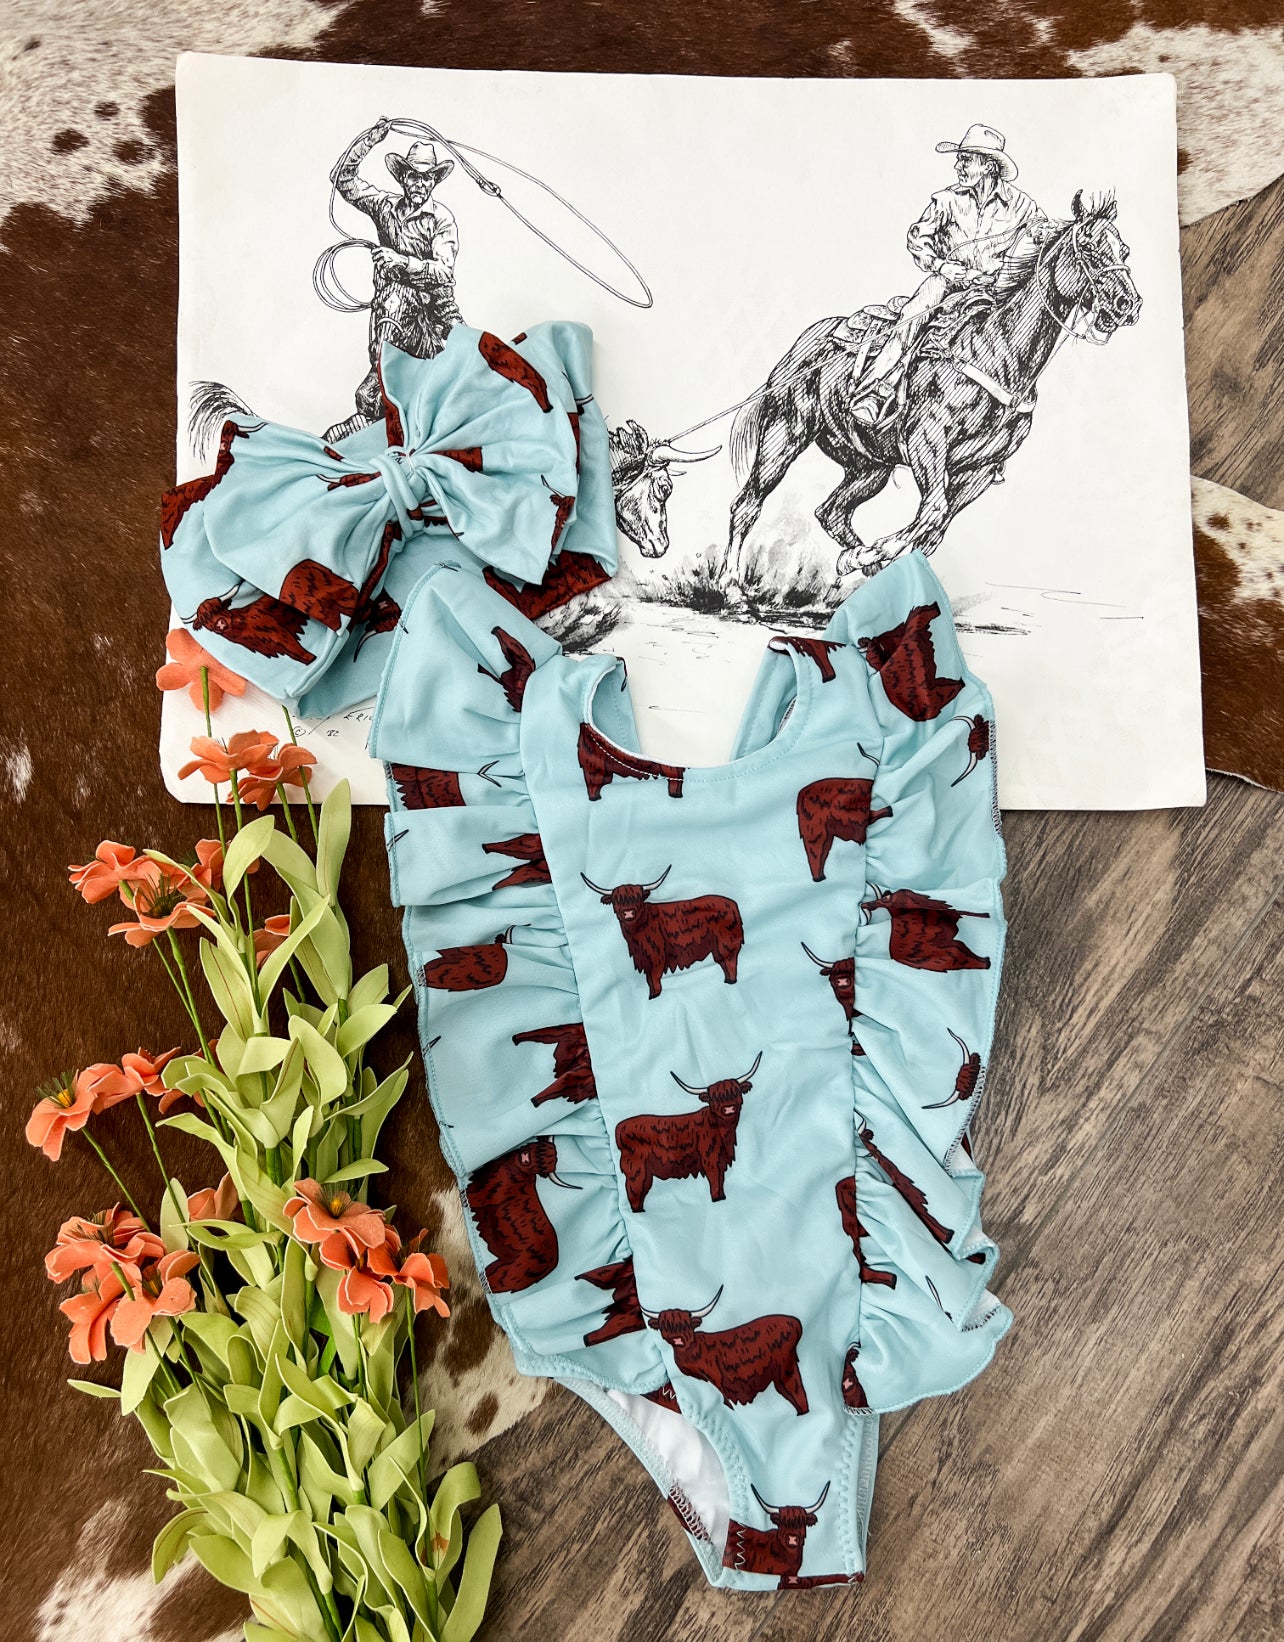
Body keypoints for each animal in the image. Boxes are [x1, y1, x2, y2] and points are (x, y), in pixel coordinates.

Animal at [726, 191, 1142, 587]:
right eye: (1087, 246)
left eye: (1123, 250)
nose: (1128, 304)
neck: (996, 352)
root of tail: (804, 344)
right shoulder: (927, 442)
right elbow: (933, 512)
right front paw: (882, 550)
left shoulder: (979, 469)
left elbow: (932, 529)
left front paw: (879, 558)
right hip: (783, 436)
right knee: (748, 504)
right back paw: (731, 584)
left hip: (869, 466)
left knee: (832, 512)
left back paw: (856, 561)